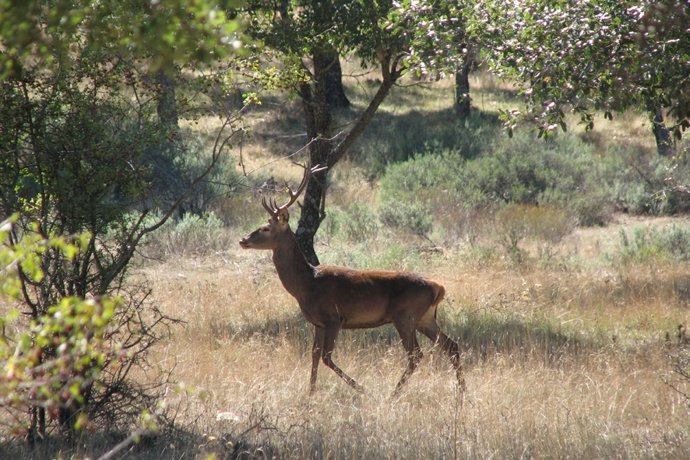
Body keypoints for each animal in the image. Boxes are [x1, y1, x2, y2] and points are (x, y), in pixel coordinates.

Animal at [239, 165, 464, 396]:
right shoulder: (318, 323)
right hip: (424, 318)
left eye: (266, 228)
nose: (243, 240)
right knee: (452, 346)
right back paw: (461, 393)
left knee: (416, 355)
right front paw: (310, 393)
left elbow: (326, 357)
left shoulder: (334, 318)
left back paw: (393, 394)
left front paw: (361, 388)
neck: (306, 285)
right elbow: (314, 355)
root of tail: (439, 287)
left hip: (405, 316)